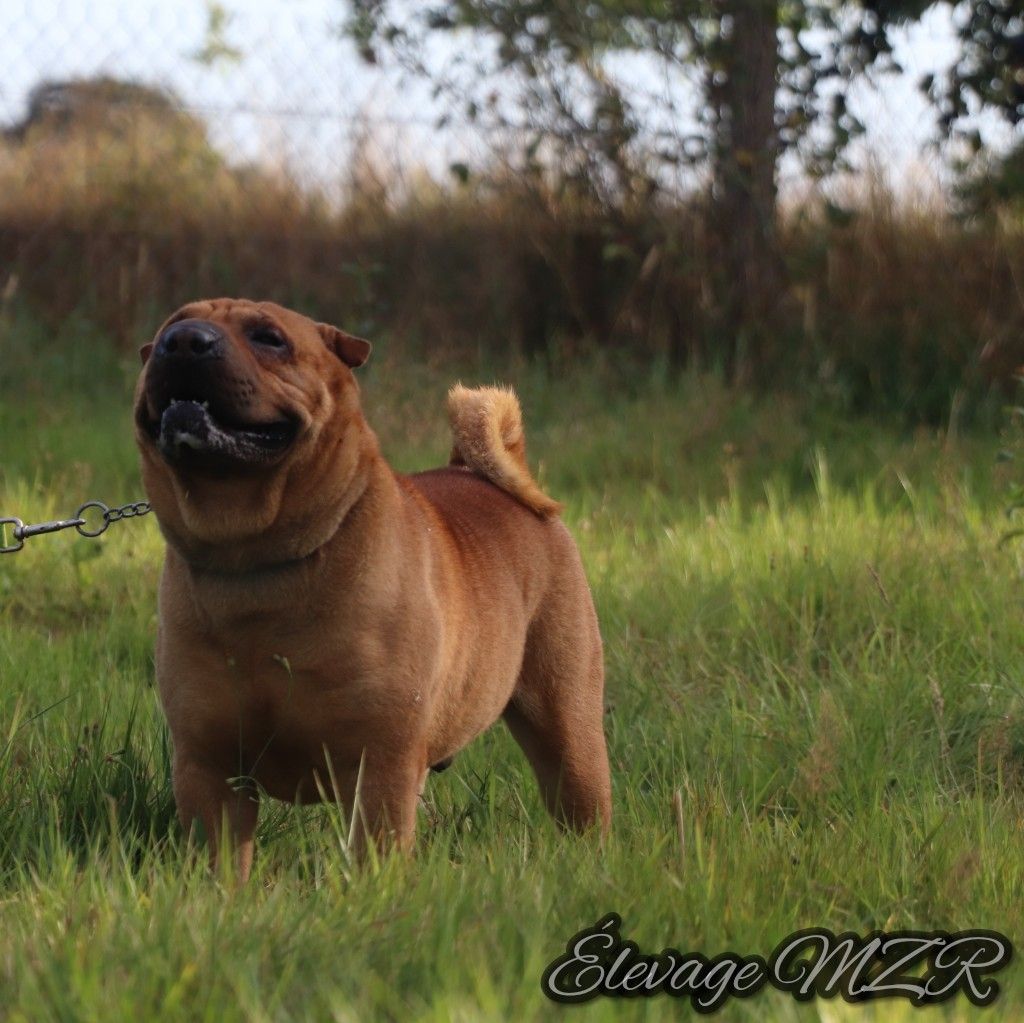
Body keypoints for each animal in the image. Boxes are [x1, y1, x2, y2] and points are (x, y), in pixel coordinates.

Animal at [133, 299, 610, 880]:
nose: (183, 342)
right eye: (168, 329)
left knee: (581, 800)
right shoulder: (208, 762)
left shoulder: (379, 759)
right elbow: (221, 859)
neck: (255, 555)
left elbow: (375, 851)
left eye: (269, 338)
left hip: (567, 723)